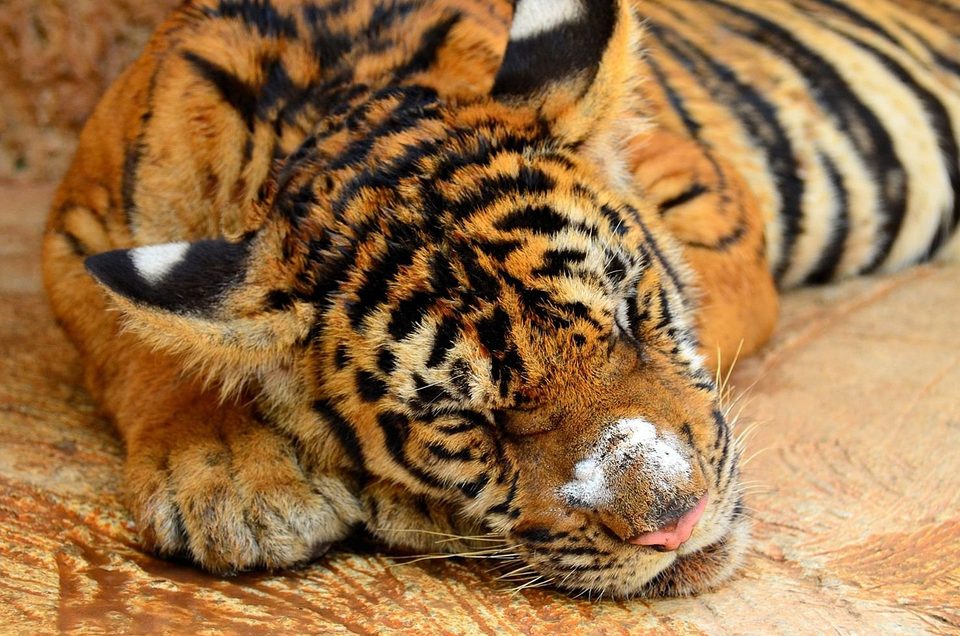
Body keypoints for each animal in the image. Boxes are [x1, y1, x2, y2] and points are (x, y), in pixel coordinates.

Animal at [42, 0, 960, 599]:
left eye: (629, 316)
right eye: (466, 421)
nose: (675, 520)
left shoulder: (711, 199)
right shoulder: (75, 227)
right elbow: (146, 347)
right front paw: (235, 482)